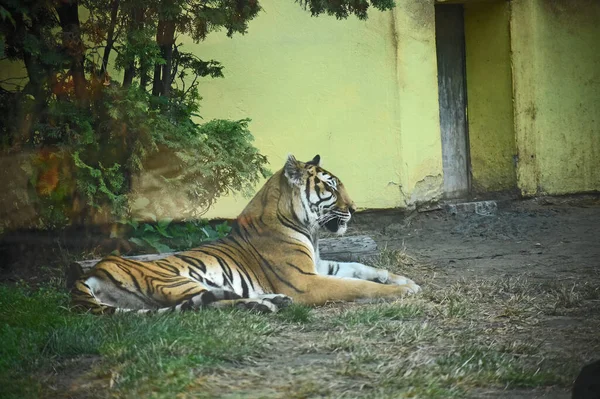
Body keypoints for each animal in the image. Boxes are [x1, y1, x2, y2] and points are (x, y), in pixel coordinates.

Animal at [68, 155, 420, 314]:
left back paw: (269, 301)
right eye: (331, 188)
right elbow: (356, 285)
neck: (309, 229)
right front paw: (401, 291)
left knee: (206, 304)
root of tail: (89, 272)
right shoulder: (305, 280)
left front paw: (403, 280)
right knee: (210, 302)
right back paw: (267, 303)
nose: (356, 208)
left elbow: (360, 268)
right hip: (176, 280)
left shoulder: (318, 265)